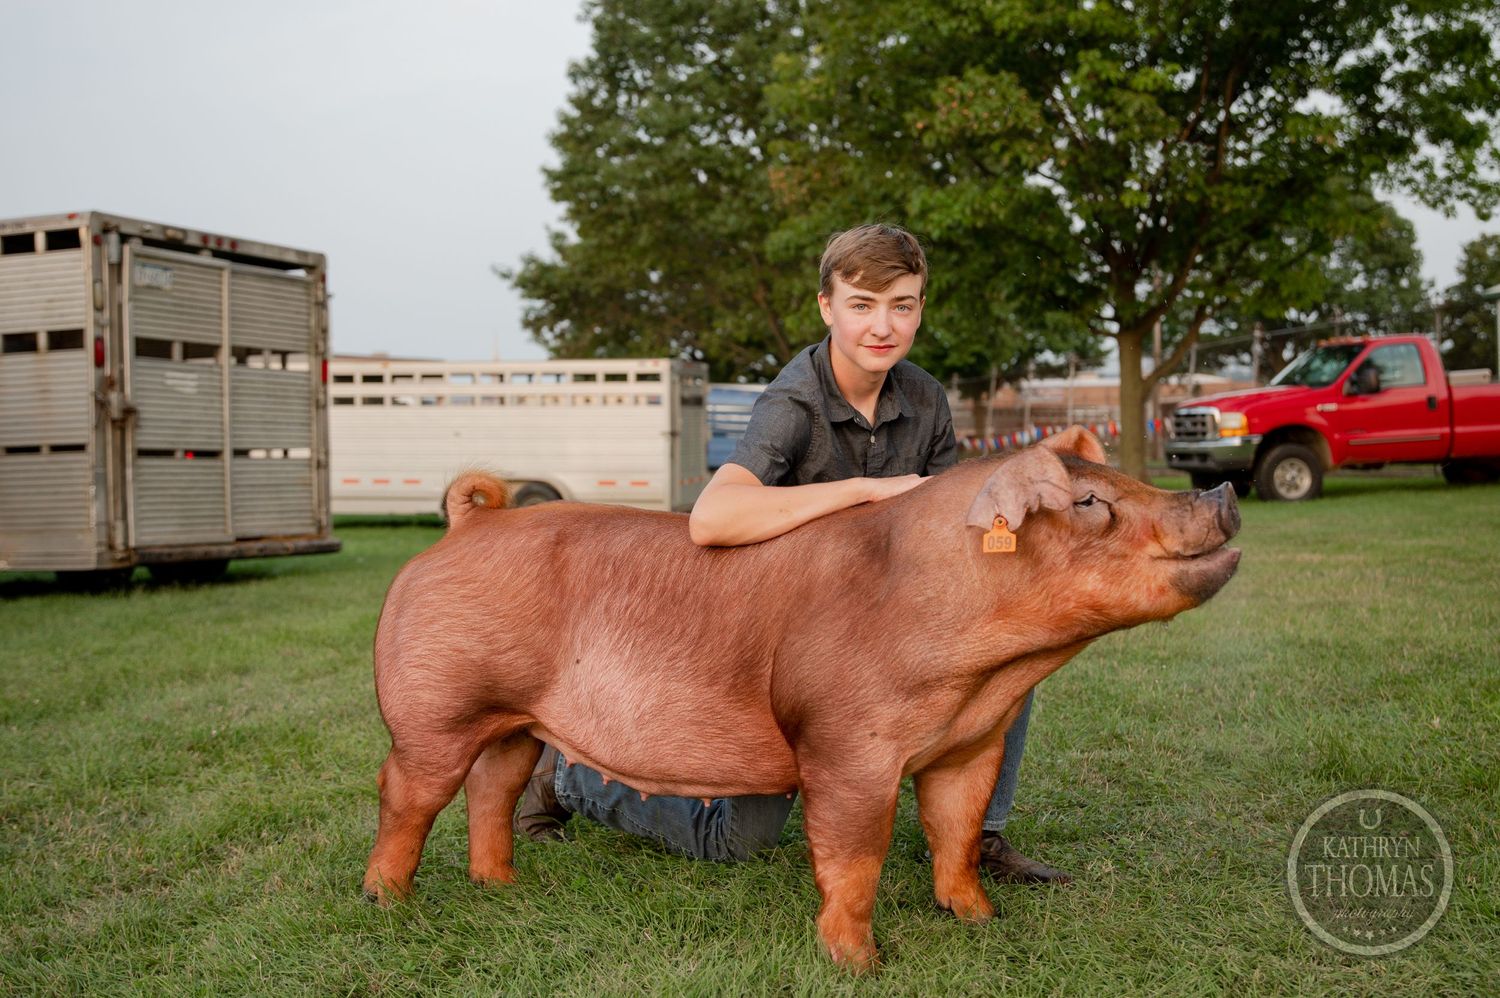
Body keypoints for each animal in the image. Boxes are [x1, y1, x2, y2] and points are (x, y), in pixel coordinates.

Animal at [362, 427, 1240, 970]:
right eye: (1089, 503)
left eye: (1123, 479)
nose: (1225, 491)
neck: (989, 670)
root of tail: (467, 527)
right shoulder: (846, 744)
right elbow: (855, 855)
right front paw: (862, 964)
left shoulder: (969, 744)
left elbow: (955, 834)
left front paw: (981, 920)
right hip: (434, 707)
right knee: (407, 792)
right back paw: (389, 902)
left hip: (514, 719)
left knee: (493, 785)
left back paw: (503, 888)